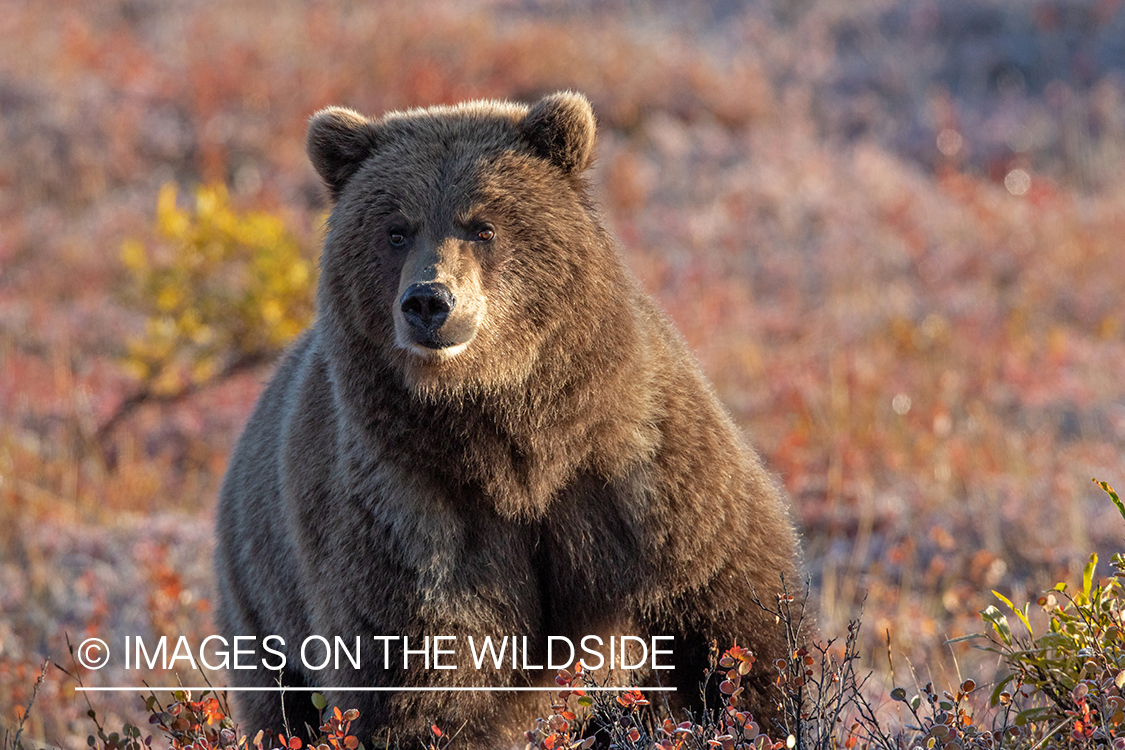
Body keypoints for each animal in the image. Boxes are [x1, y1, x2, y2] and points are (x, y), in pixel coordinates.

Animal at [214, 91, 805, 746]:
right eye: (395, 230)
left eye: (484, 225)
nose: (428, 301)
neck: (515, 440)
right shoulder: (414, 507)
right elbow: (423, 676)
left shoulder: (640, 472)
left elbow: (735, 619)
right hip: (262, 606)